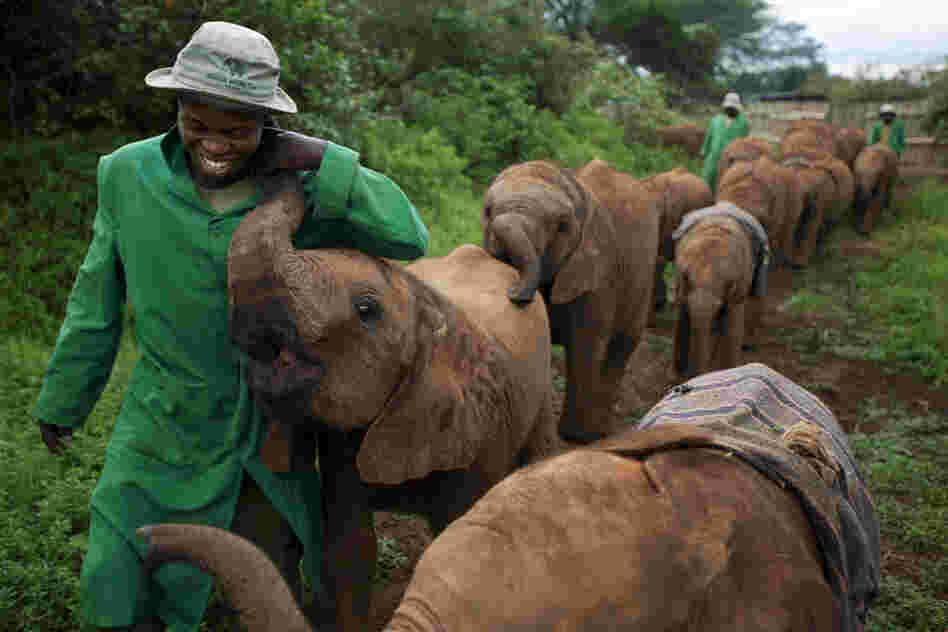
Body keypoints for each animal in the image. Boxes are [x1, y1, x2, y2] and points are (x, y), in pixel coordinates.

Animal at [482, 159, 660, 443]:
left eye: (561, 225)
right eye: (487, 211)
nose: (513, 291)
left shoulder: (599, 273)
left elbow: (585, 343)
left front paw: (575, 436)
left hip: (644, 275)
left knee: (621, 346)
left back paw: (597, 432)